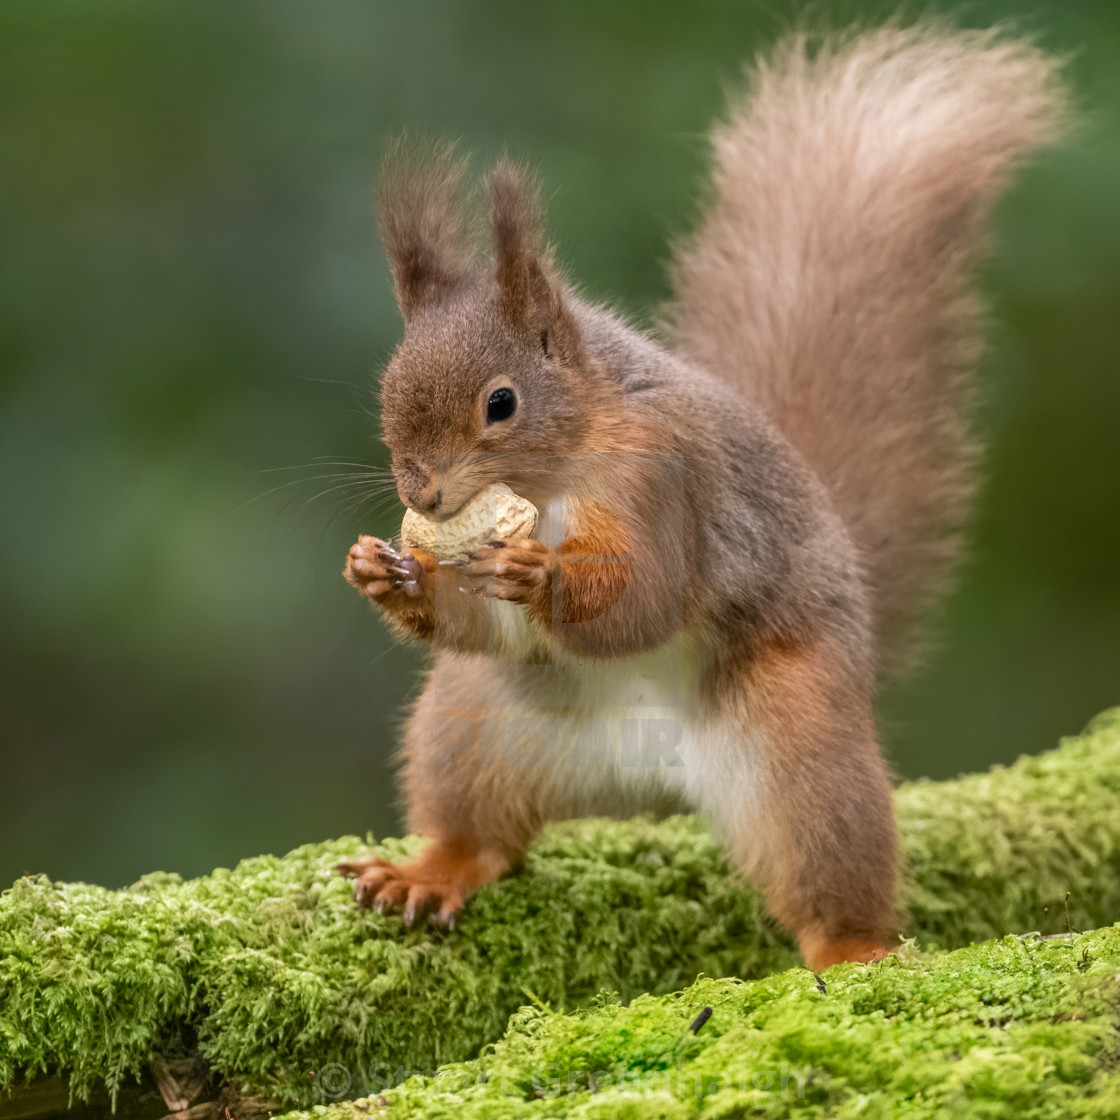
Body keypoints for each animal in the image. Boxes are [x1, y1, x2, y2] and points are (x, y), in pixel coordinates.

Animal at [338, 28, 1066, 972]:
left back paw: (853, 949)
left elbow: (648, 597)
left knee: (829, 860)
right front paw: (388, 574)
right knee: (484, 831)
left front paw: (543, 575)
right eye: (385, 392)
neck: (564, 467)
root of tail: (643, 772)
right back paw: (433, 870)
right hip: (476, 725)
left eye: (501, 403)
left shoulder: (667, 478)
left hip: (799, 745)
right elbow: (479, 623)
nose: (421, 491)